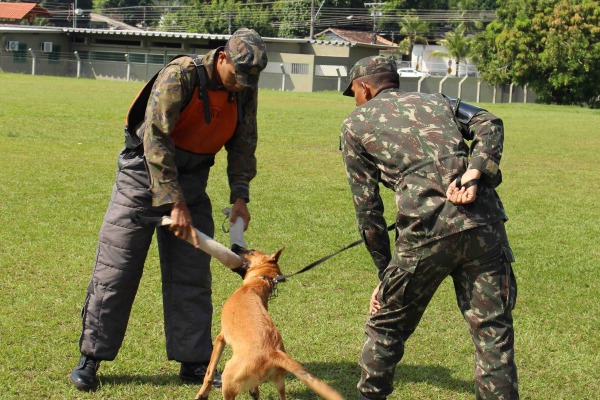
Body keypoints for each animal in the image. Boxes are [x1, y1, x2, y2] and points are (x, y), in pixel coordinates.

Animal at [195, 248, 344, 398]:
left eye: (251, 251)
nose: (234, 246)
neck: (257, 283)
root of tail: (273, 353)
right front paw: (253, 391)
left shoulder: (221, 338)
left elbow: (209, 372)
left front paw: (202, 393)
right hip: (279, 383)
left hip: (228, 380)